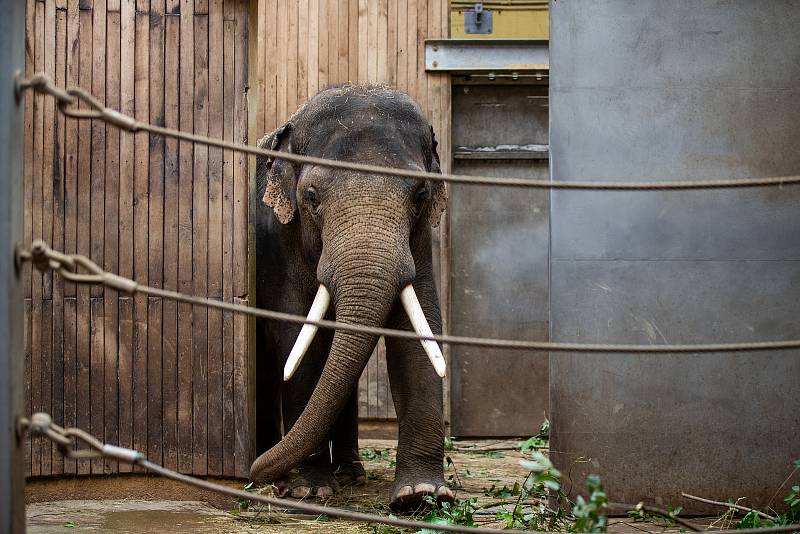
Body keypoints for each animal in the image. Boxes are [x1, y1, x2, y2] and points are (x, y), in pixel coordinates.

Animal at [250, 82, 454, 510]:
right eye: (311, 196)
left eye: (420, 195)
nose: (261, 474)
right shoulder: (277, 241)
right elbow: (297, 337)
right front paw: (309, 489)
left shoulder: (419, 242)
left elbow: (417, 330)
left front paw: (422, 495)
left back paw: (350, 474)